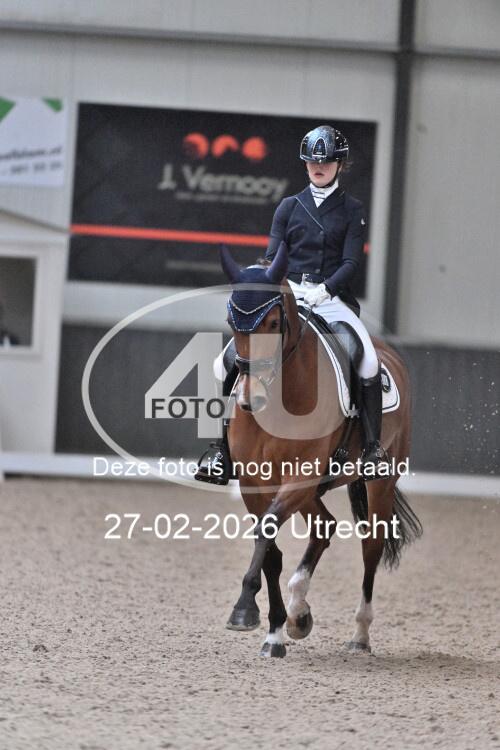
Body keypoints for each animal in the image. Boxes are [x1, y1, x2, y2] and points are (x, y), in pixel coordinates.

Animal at [220, 241, 422, 658]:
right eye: (233, 323)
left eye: (273, 323)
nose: (251, 400)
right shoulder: (253, 482)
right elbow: (271, 551)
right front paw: (276, 631)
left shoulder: (298, 477)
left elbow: (267, 534)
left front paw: (244, 610)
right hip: (311, 489)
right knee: (324, 526)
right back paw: (299, 614)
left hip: (378, 481)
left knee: (371, 546)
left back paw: (360, 635)